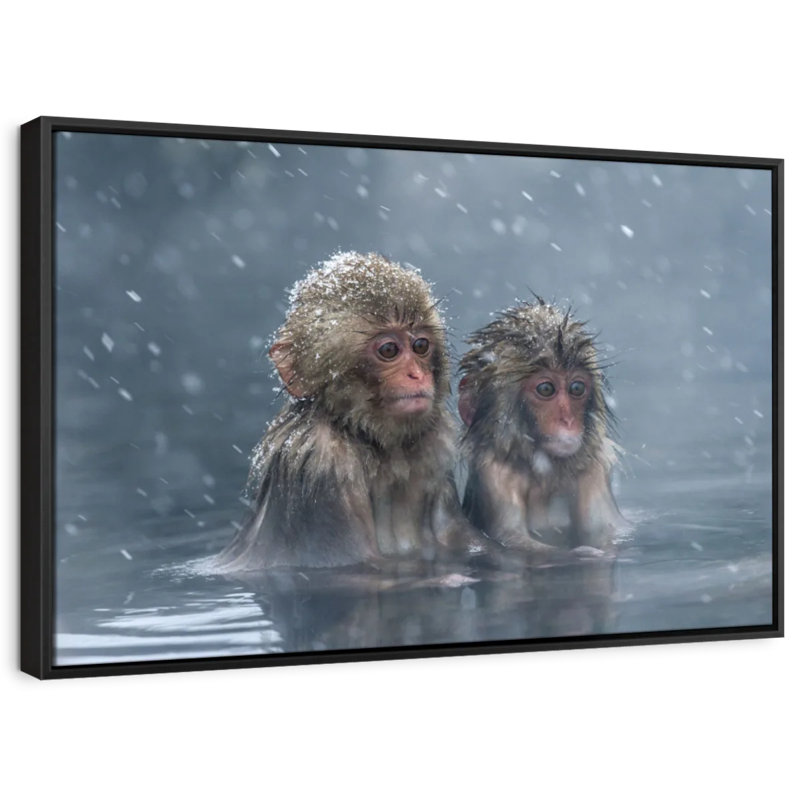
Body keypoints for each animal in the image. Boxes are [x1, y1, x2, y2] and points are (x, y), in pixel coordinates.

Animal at [210, 251, 487, 572]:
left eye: (420, 345)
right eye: (389, 350)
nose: (417, 375)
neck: (371, 443)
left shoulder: (434, 451)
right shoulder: (320, 464)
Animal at [458, 298, 627, 553]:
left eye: (577, 388)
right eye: (546, 389)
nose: (568, 420)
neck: (545, 474)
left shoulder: (594, 467)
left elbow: (605, 529)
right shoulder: (495, 473)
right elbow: (511, 538)